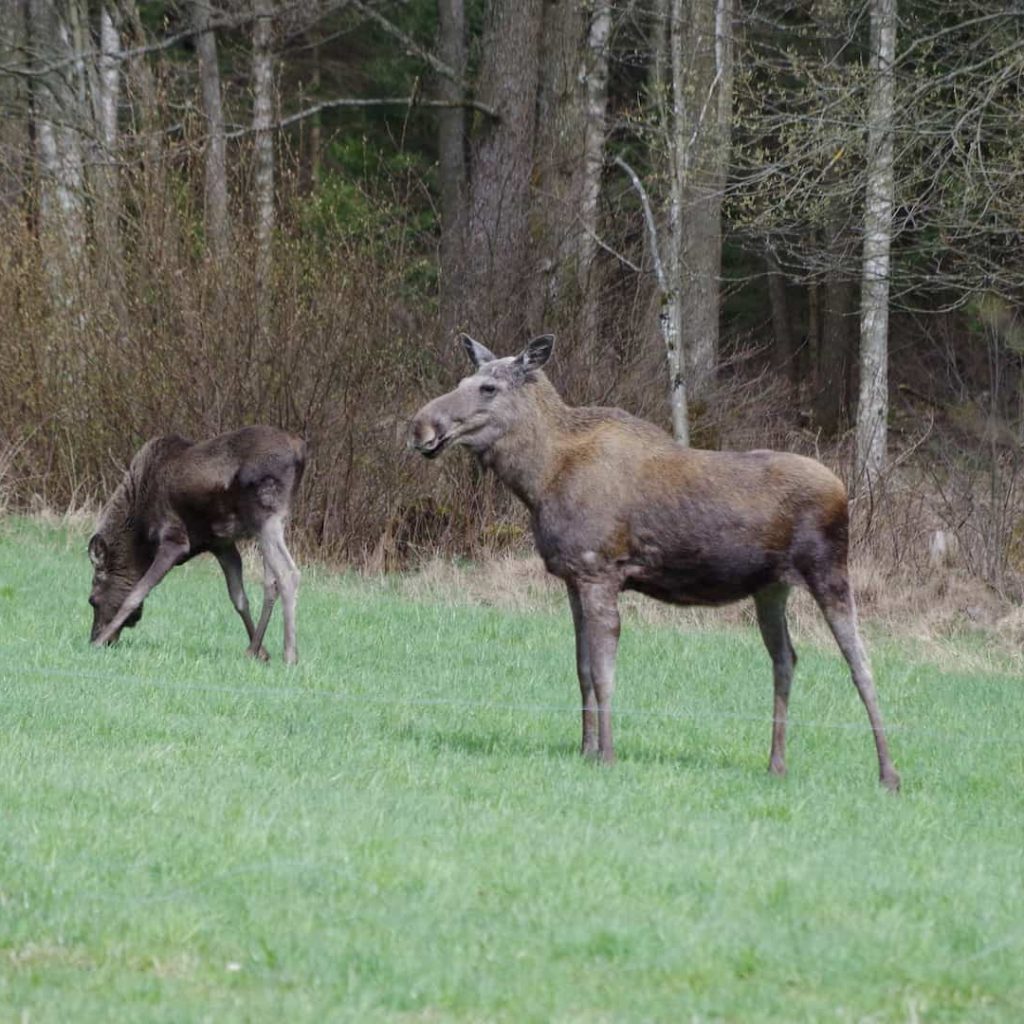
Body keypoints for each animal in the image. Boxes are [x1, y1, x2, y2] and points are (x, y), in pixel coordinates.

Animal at [88, 425, 305, 659]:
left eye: (92, 600)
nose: (94, 637)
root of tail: (300, 450)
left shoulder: (175, 540)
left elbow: (137, 592)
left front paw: (99, 641)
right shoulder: (221, 545)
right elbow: (239, 598)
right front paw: (262, 652)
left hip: (265, 516)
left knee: (288, 574)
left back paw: (290, 655)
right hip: (271, 524)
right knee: (270, 583)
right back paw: (254, 649)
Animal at [411, 331, 901, 786]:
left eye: (488, 387)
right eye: (463, 381)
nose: (421, 426)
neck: (539, 478)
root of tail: (844, 493)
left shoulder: (599, 571)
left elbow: (604, 672)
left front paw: (607, 755)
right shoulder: (571, 578)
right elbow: (582, 668)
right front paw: (585, 749)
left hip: (829, 570)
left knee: (861, 662)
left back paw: (888, 774)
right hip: (771, 587)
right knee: (786, 659)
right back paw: (776, 764)